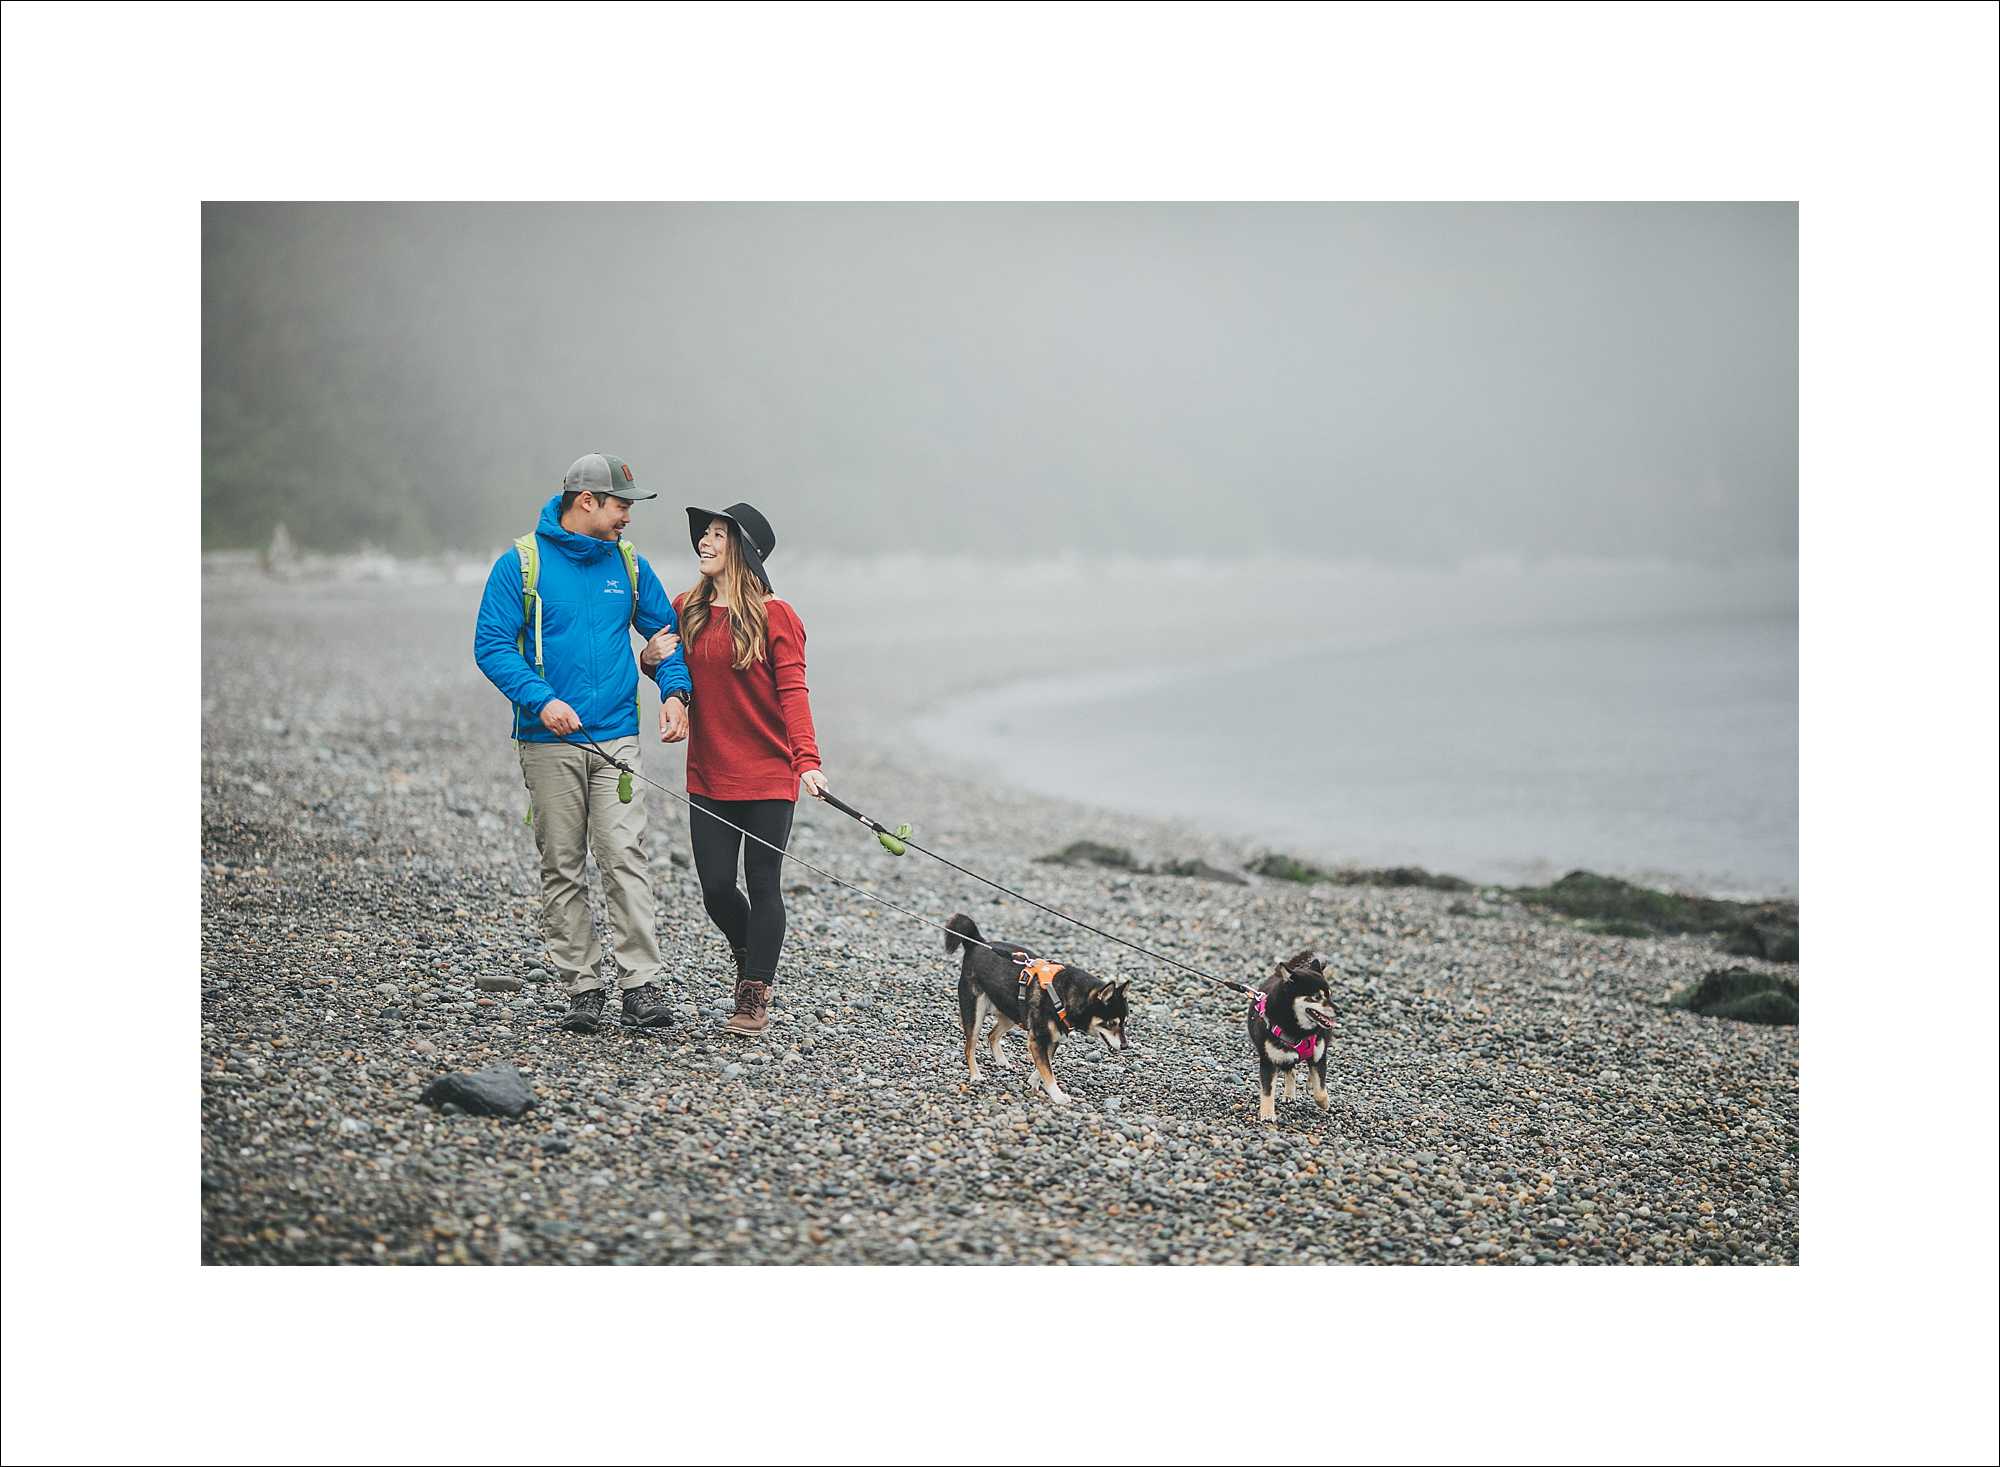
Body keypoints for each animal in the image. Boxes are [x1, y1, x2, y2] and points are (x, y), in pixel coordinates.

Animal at [944, 913, 1129, 1106]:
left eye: (1124, 1023)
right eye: (1111, 1023)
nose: (1125, 1046)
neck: (1066, 995)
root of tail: (977, 943)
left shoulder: (1053, 1039)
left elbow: (1043, 1067)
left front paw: (1034, 1082)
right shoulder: (1038, 1039)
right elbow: (1047, 1070)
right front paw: (1057, 1095)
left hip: (1012, 1012)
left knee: (992, 1035)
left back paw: (1001, 1061)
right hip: (976, 1012)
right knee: (969, 1046)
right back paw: (976, 1076)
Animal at [1248, 949, 1337, 1122]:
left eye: (1330, 995)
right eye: (1317, 997)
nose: (1339, 1010)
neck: (1299, 1030)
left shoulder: (1319, 1056)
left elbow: (1320, 1089)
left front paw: (1324, 1103)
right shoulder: (1269, 1061)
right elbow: (1267, 1090)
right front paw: (1267, 1114)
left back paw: (1310, 1083)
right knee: (1291, 1071)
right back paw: (1289, 1094)